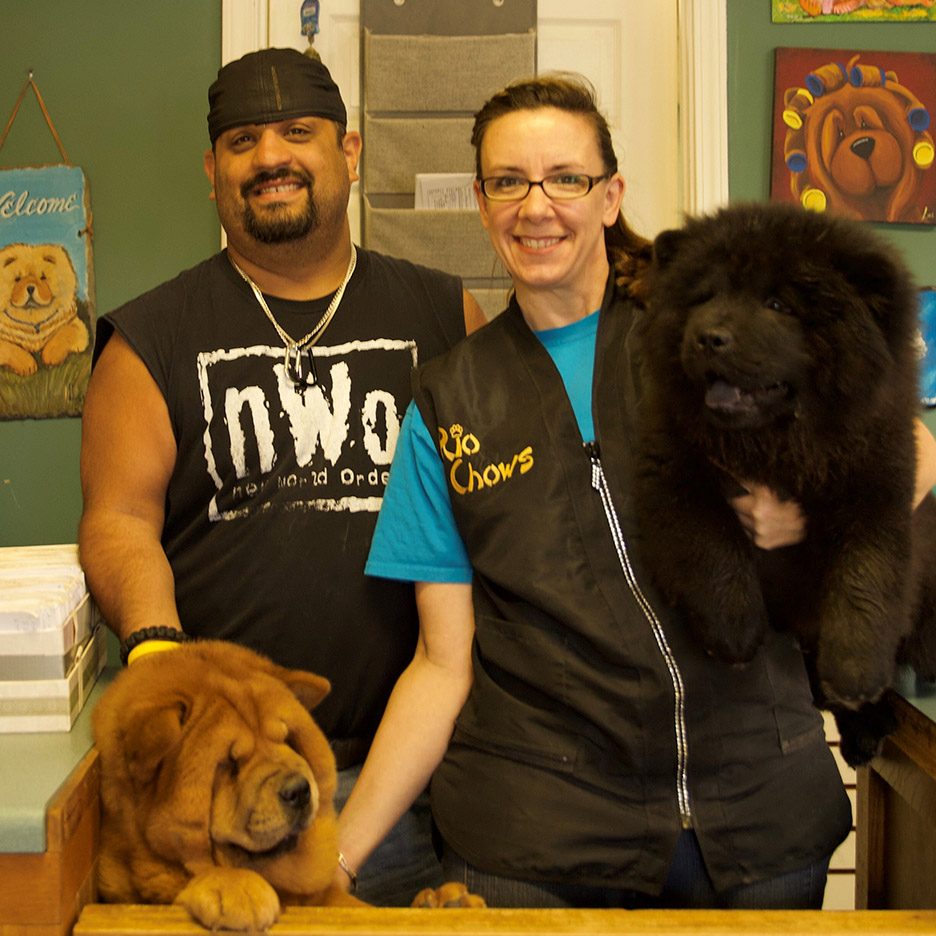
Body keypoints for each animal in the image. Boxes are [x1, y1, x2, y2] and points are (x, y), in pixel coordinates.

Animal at [0, 243, 88, 378]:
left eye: (43, 277)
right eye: (17, 279)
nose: (30, 287)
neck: (33, 318)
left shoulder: (76, 325)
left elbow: (65, 333)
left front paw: (50, 356)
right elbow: (10, 347)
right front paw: (28, 365)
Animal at [636, 201, 936, 764]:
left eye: (778, 304)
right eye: (704, 297)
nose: (708, 336)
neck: (780, 449)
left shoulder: (879, 484)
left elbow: (865, 578)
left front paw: (855, 673)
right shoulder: (675, 474)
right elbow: (713, 549)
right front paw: (735, 633)